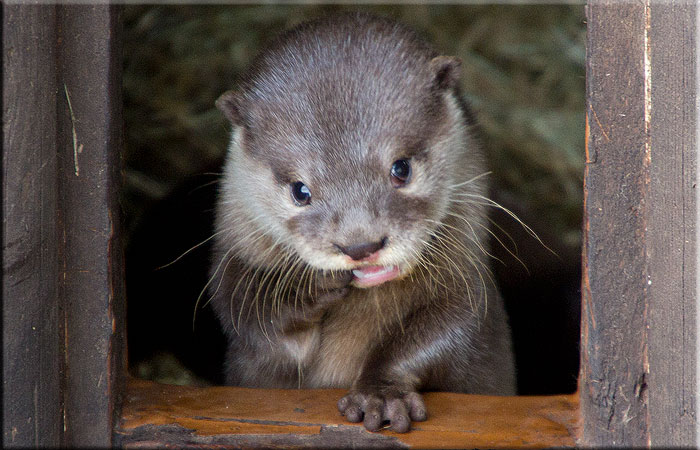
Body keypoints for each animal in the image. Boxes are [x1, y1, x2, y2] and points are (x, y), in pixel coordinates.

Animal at [209, 12, 516, 433]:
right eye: (300, 191)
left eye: (401, 168)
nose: (360, 246)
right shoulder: (234, 259)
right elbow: (243, 309)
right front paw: (308, 288)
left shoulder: (466, 280)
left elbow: (448, 329)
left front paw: (381, 395)